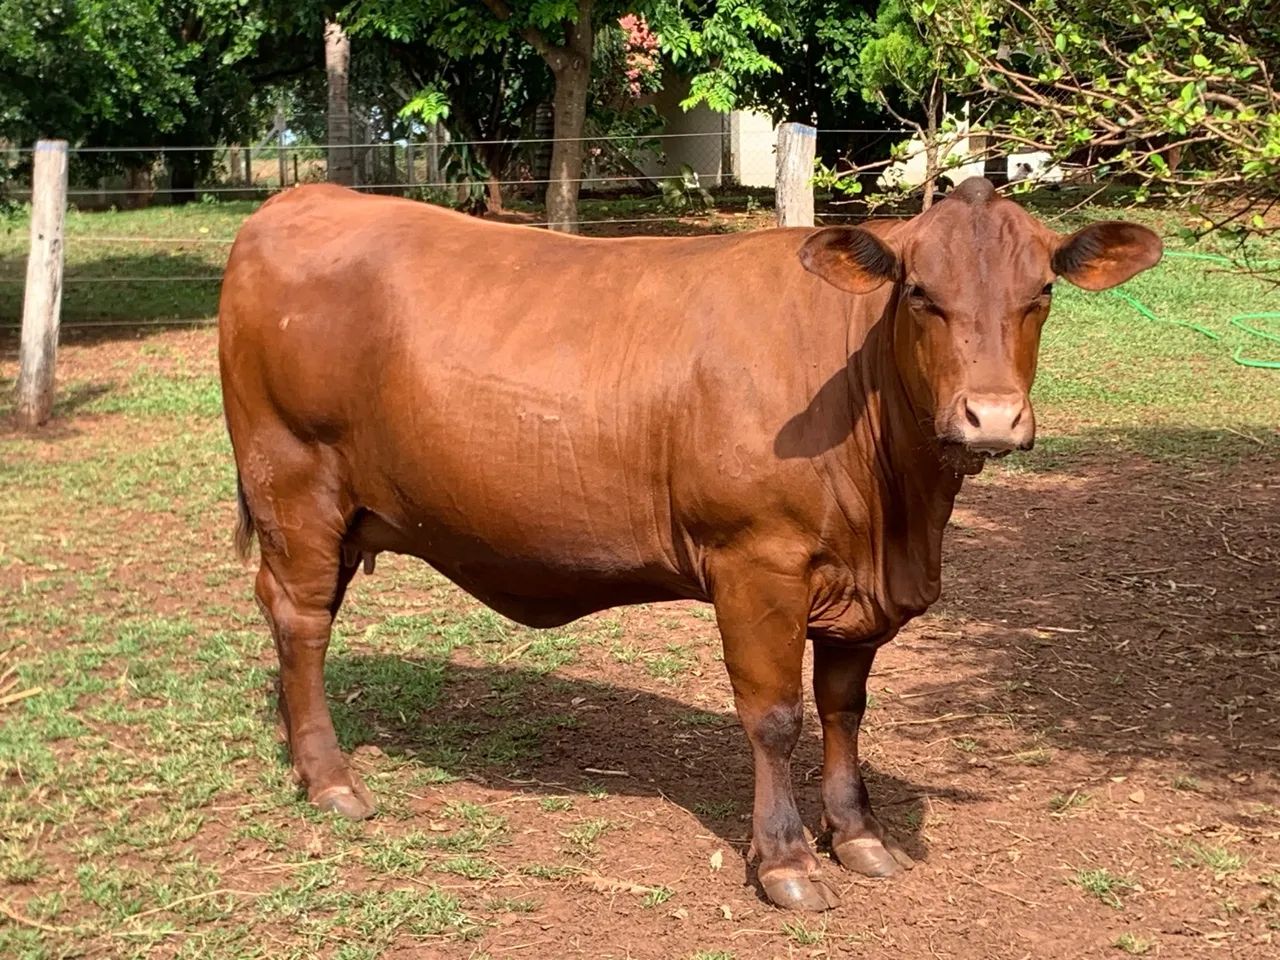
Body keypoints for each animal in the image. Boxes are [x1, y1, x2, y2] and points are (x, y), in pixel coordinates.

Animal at [218, 178, 1161, 911]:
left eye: (1041, 294)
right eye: (921, 293)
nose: (991, 417)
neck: (900, 519)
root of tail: (303, 198)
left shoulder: (856, 590)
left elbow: (843, 707)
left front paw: (857, 835)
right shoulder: (757, 561)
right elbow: (775, 716)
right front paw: (784, 863)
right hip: (293, 481)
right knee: (302, 620)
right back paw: (331, 780)